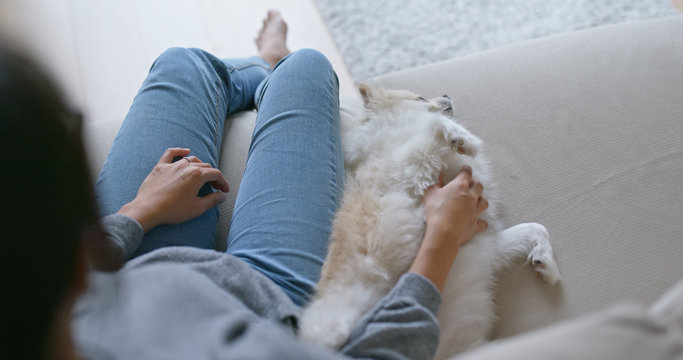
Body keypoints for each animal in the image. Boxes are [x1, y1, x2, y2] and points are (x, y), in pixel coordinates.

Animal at [300, 86, 560, 358]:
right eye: (420, 98)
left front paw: (546, 264)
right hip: (341, 320)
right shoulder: (404, 166)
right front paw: (463, 139)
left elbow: (535, 228)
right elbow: (432, 124)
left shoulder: (483, 241)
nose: (446, 94)